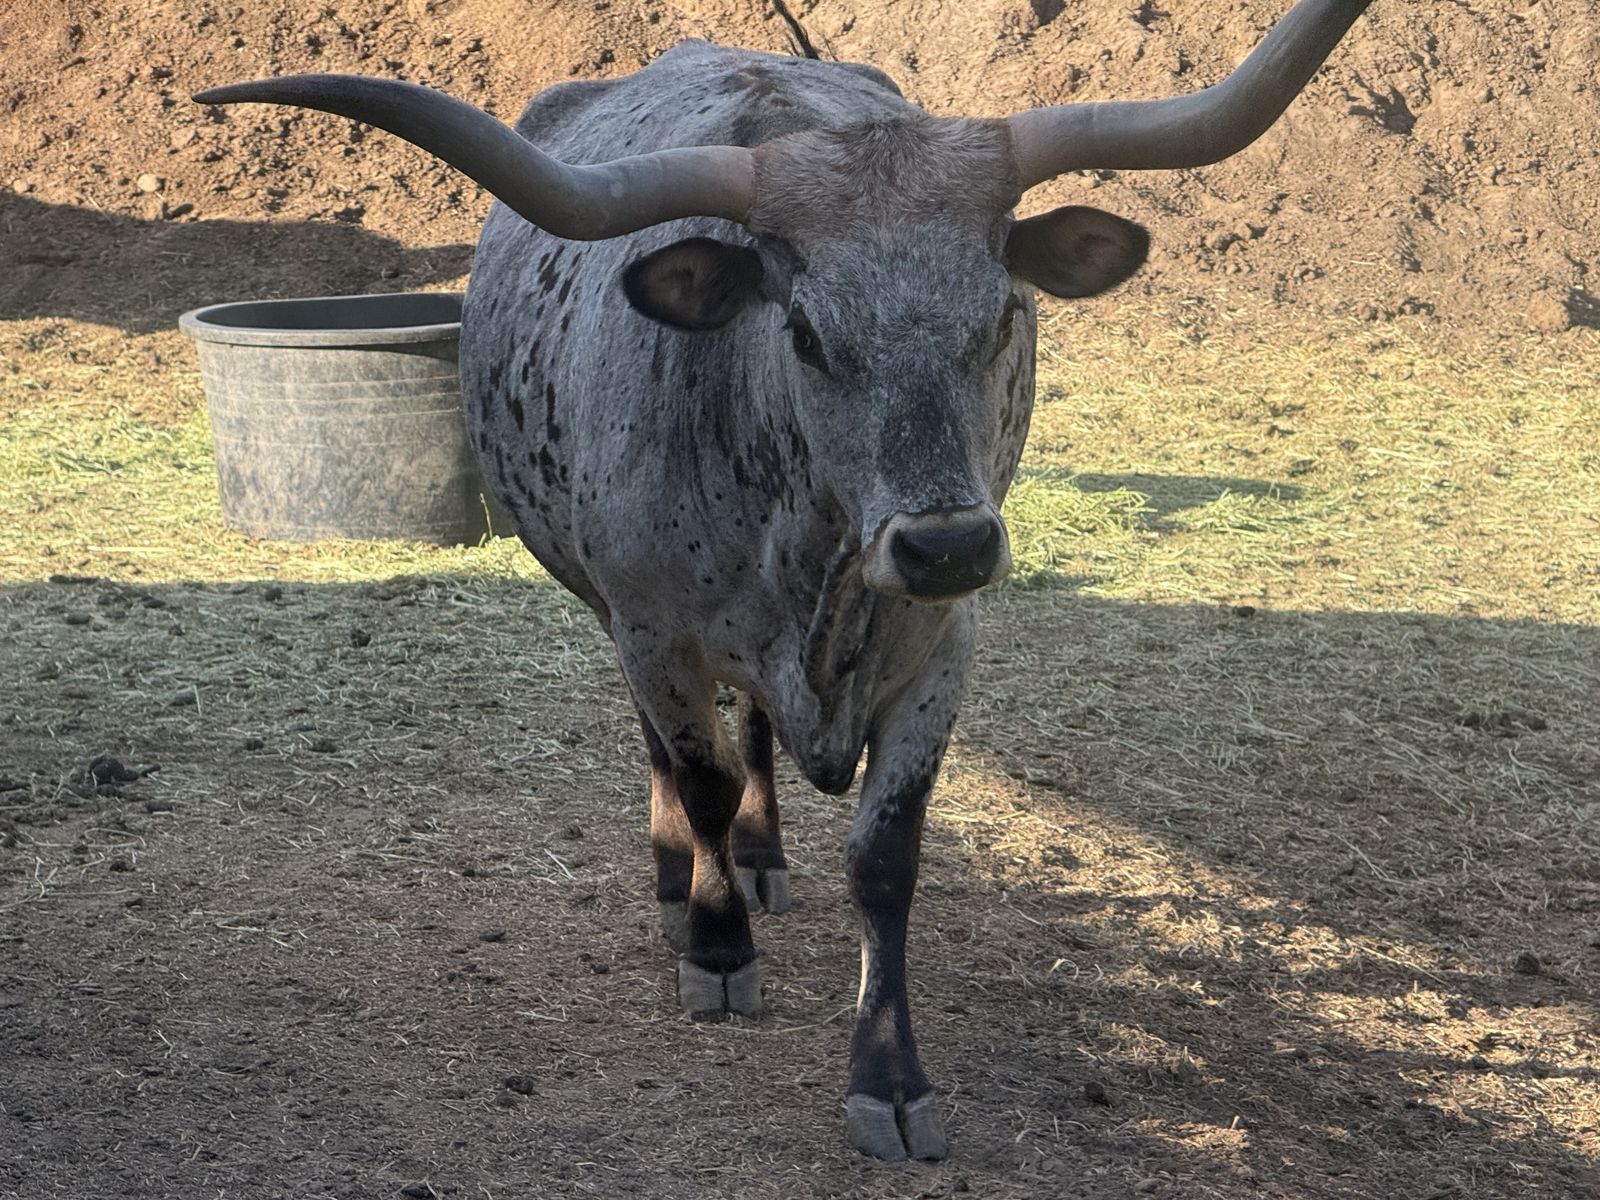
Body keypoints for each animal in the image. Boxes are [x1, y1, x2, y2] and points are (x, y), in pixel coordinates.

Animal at [197, 0, 1375, 1160]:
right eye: (804, 331)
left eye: (1004, 314)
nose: (946, 546)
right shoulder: (654, 629)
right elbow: (702, 781)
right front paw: (718, 946)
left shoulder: (940, 651)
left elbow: (884, 857)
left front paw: (889, 1077)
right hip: (614, 616)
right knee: (671, 750)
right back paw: (681, 875)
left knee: (754, 728)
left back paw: (761, 854)